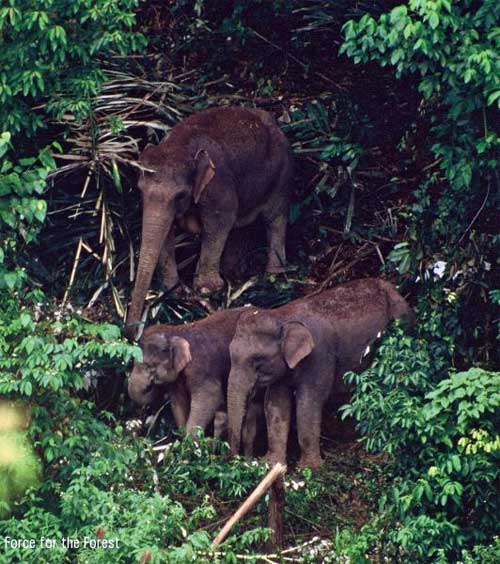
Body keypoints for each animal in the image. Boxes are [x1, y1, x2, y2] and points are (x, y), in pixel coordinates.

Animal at [124, 106, 292, 340]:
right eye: (140, 190)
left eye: (180, 195)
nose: (131, 334)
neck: (181, 146)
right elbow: (165, 233)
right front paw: (172, 289)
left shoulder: (218, 186)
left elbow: (220, 221)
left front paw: (206, 290)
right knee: (241, 226)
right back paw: (234, 274)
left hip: (282, 173)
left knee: (275, 219)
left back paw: (273, 277)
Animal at [227, 278, 414, 468]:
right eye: (231, 355)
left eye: (257, 361)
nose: (238, 459)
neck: (282, 316)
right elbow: (275, 404)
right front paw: (272, 464)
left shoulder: (319, 356)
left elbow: (309, 402)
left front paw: (310, 467)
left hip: (402, 324)